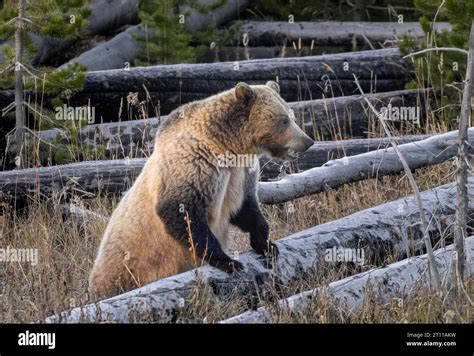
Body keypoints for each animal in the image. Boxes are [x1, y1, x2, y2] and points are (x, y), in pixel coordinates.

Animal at [90, 80, 314, 298]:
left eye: (292, 116)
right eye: (283, 120)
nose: (308, 141)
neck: (230, 146)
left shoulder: (240, 174)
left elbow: (246, 208)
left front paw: (267, 245)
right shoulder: (195, 164)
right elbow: (183, 213)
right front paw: (230, 262)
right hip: (126, 267)